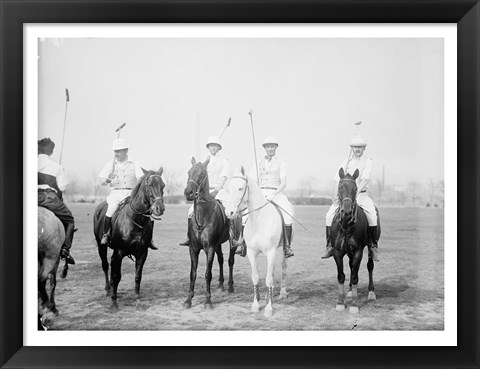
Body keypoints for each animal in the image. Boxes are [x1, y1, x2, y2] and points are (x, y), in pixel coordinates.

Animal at [93, 167, 166, 310]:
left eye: (163, 185)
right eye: (150, 185)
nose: (159, 208)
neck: (136, 220)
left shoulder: (142, 253)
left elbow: (138, 276)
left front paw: (137, 299)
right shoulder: (119, 252)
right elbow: (117, 276)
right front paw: (114, 302)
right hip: (101, 247)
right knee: (105, 266)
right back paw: (108, 290)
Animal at [183, 157, 237, 310]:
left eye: (202, 173)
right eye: (189, 172)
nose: (189, 192)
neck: (203, 215)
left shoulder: (210, 247)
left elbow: (208, 273)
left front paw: (208, 300)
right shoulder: (193, 248)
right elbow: (192, 273)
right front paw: (188, 299)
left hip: (232, 242)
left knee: (230, 261)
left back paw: (230, 286)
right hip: (218, 244)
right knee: (221, 259)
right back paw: (221, 284)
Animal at [222, 167, 286, 316]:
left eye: (240, 188)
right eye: (229, 188)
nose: (229, 212)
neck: (258, 220)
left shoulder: (271, 252)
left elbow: (268, 279)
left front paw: (268, 309)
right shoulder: (252, 253)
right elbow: (256, 277)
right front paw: (256, 304)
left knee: (283, 268)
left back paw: (282, 293)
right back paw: (269, 296)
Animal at [332, 168, 380, 312]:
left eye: (355, 188)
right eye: (340, 187)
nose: (347, 211)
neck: (346, 225)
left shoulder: (358, 251)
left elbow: (355, 277)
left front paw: (354, 305)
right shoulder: (337, 252)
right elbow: (341, 275)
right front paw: (340, 302)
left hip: (370, 247)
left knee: (370, 266)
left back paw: (371, 292)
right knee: (351, 266)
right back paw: (348, 291)